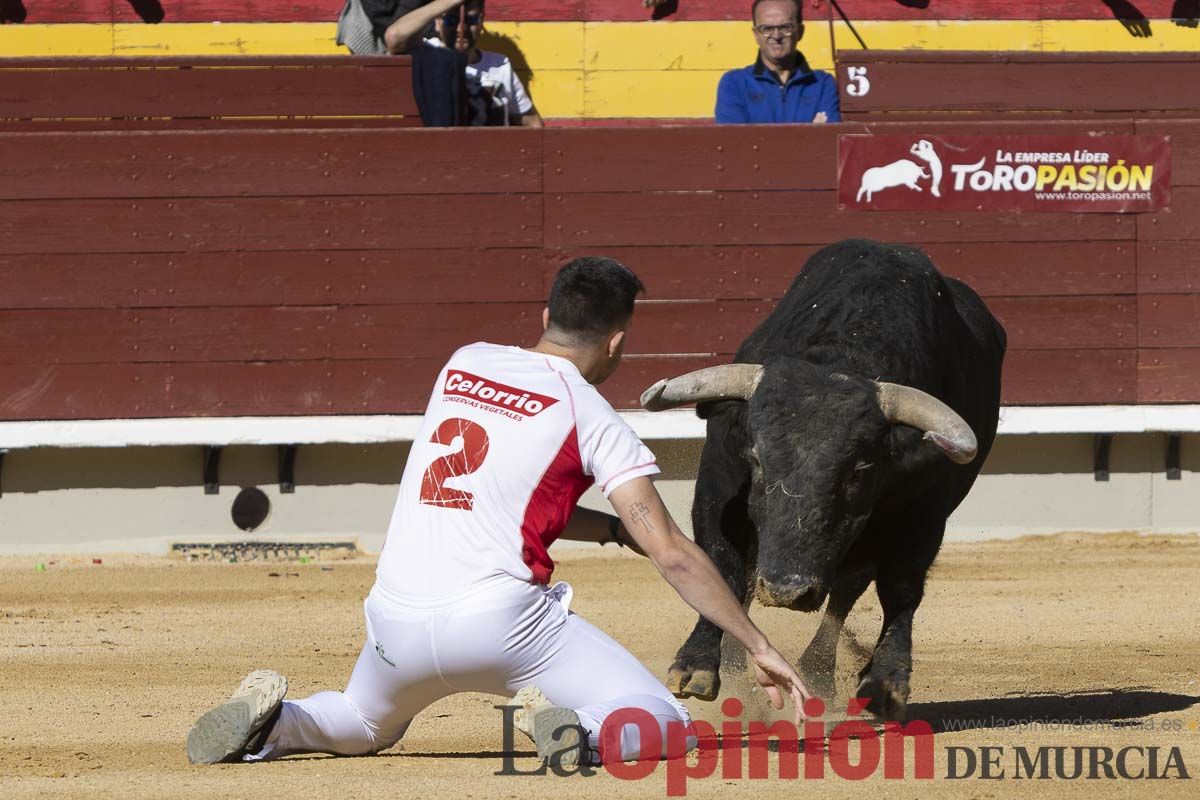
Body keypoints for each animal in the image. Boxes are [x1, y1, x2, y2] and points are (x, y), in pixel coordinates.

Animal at [643, 237, 1008, 719]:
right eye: (757, 458)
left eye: (860, 470)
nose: (787, 590)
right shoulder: (716, 492)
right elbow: (722, 569)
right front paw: (698, 665)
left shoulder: (925, 515)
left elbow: (900, 590)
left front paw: (885, 683)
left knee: (845, 595)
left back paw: (817, 673)